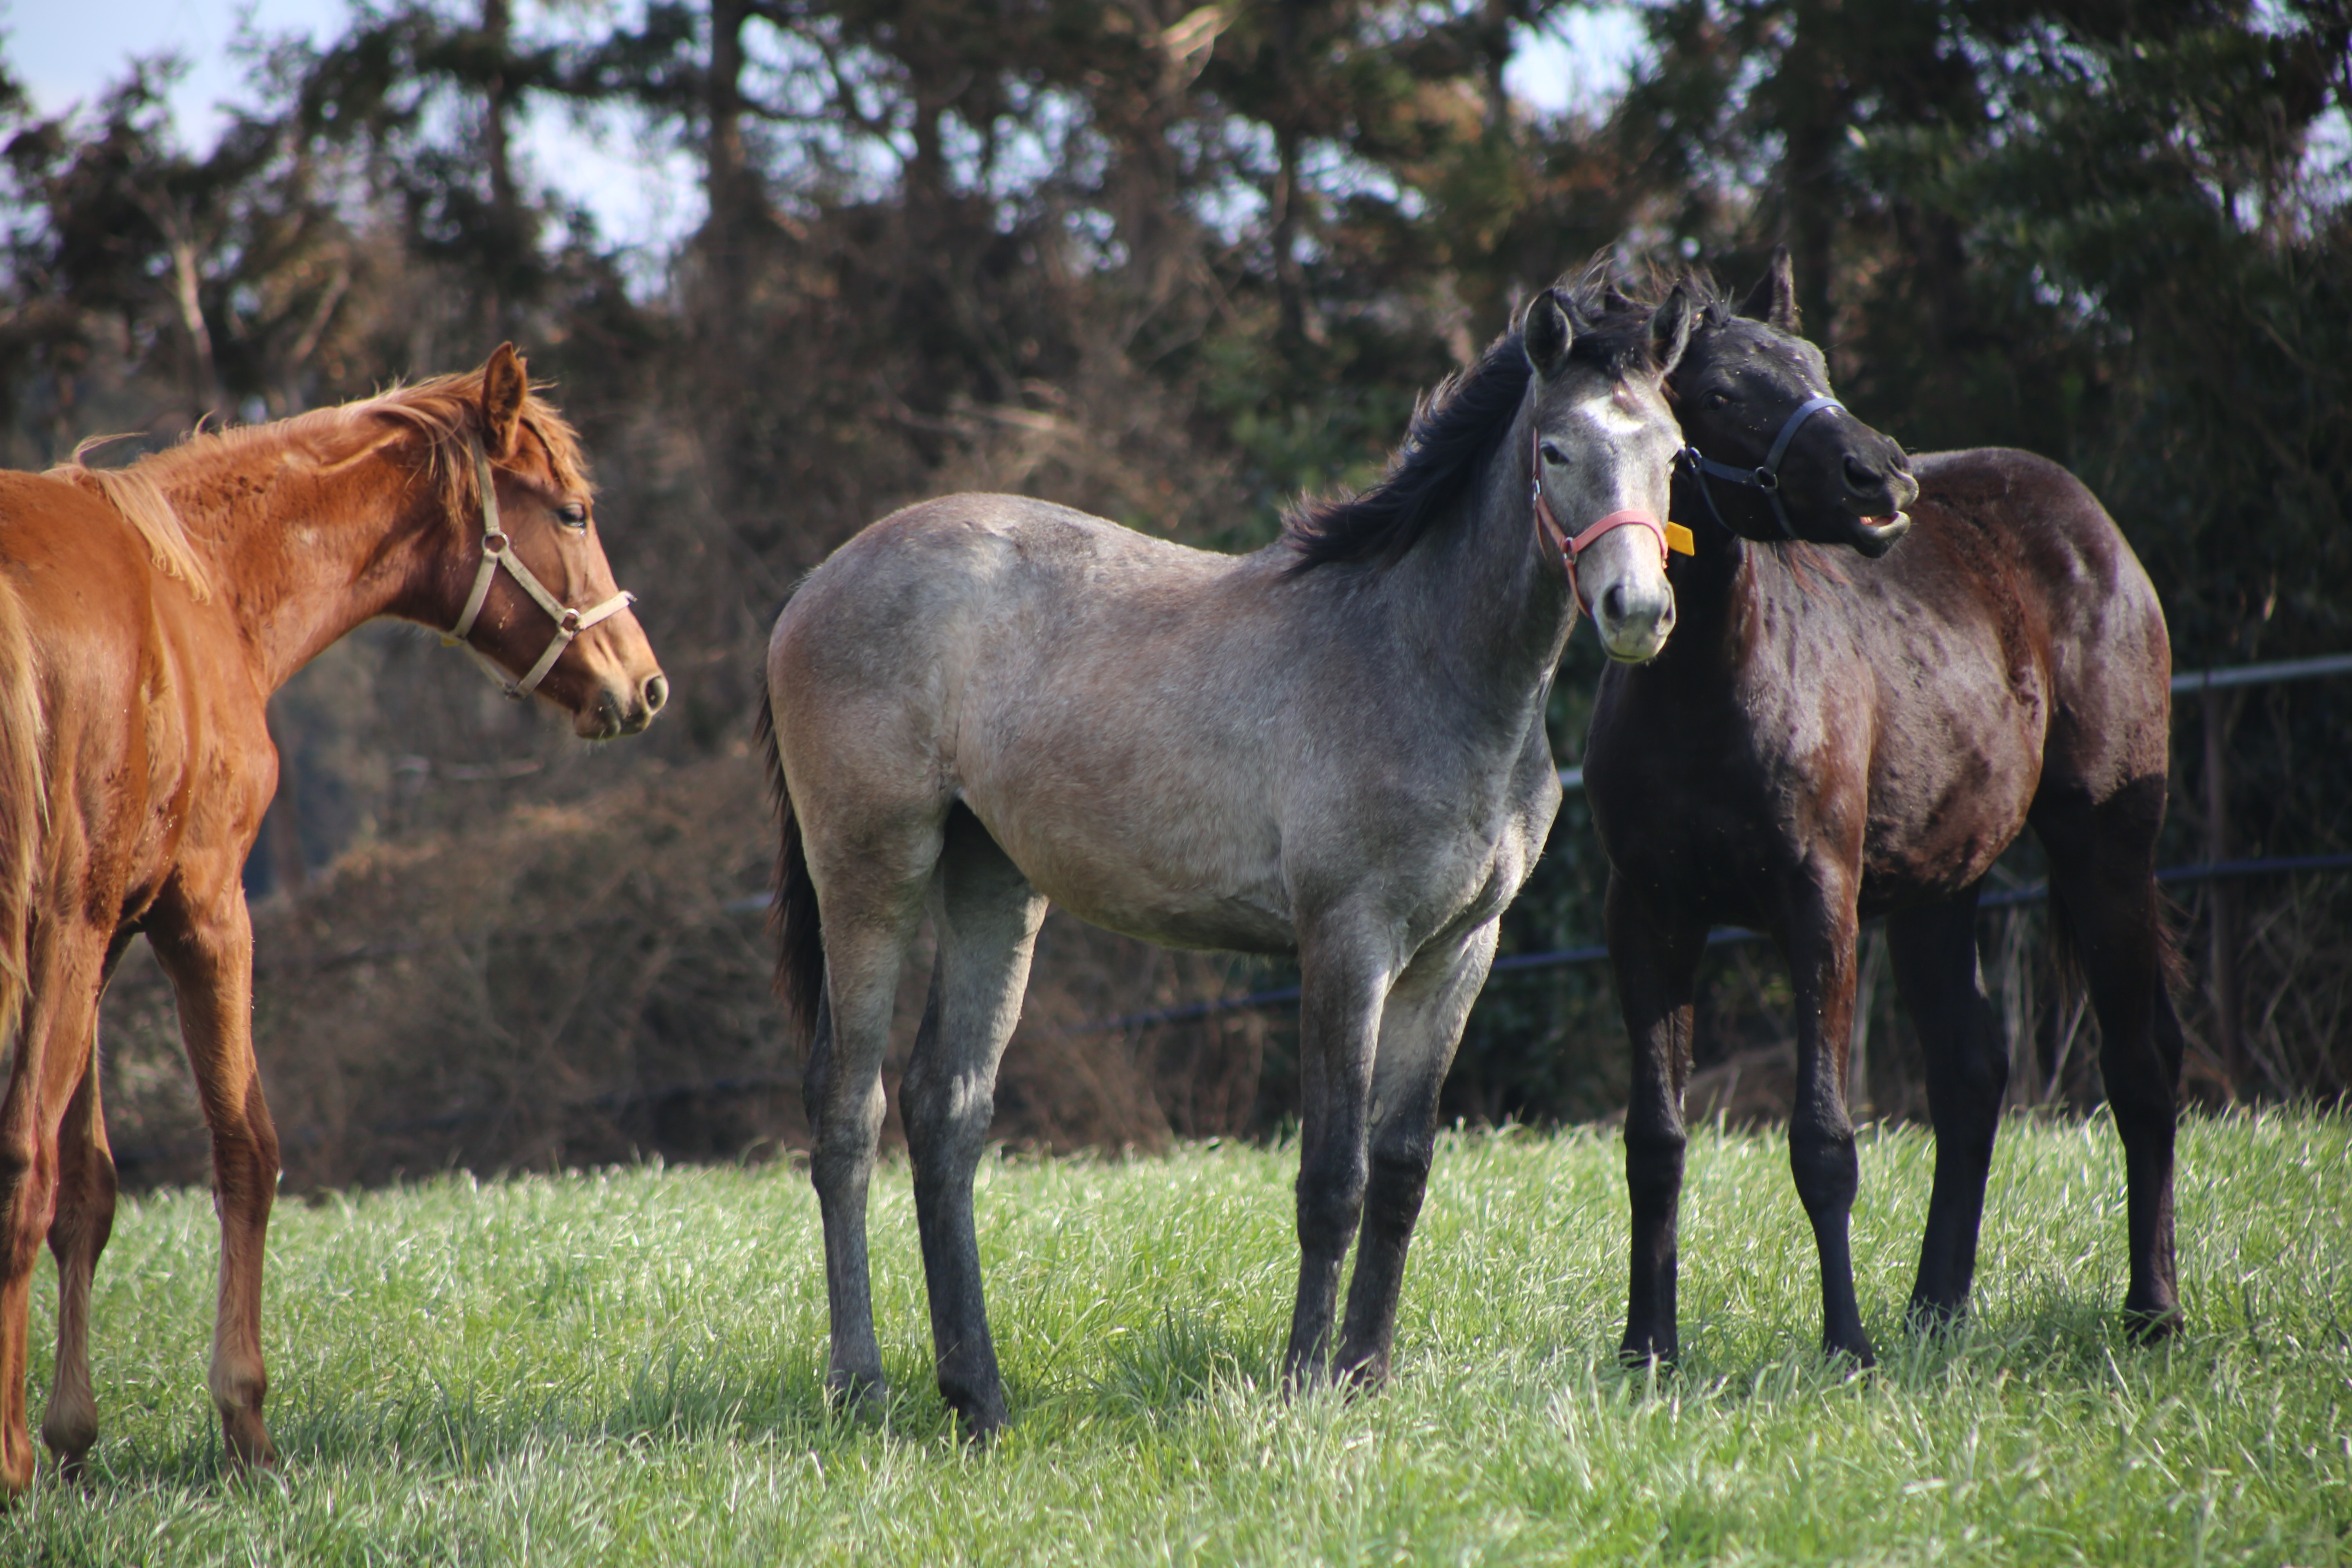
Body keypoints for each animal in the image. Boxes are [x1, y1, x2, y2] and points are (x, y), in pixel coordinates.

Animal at [0, 345, 668, 1495]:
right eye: (574, 513)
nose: (645, 681)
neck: (198, 584)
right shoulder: (198, 912)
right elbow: (244, 1149)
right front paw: (244, 1421)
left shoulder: (105, 937)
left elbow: (90, 1191)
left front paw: (76, 1433)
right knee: (20, 1164)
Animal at [762, 278, 1703, 1439]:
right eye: (1558, 449)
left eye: (1673, 452)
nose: (1638, 612)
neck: (1421, 660)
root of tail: (816, 581)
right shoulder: (1346, 945)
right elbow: (1332, 1180)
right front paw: (1304, 1385)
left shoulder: (1460, 952)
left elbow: (1402, 1172)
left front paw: (1367, 1376)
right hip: (871, 871)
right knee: (846, 1110)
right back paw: (860, 1384)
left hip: (993, 885)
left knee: (947, 1107)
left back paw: (977, 1397)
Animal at [1580, 252, 2183, 1363]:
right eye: (1719, 395)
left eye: (1814, 365)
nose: (1881, 478)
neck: (1701, 689)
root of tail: (2089, 522)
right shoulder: (1645, 913)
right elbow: (1653, 1140)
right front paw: (1646, 1347)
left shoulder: (1819, 902)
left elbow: (1823, 1138)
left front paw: (1845, 1348)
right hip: (1939, 888)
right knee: (1970, 1075)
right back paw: (1935, 1309)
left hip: (2105, 846)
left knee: (2141, 1058)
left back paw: (2151, 1308)